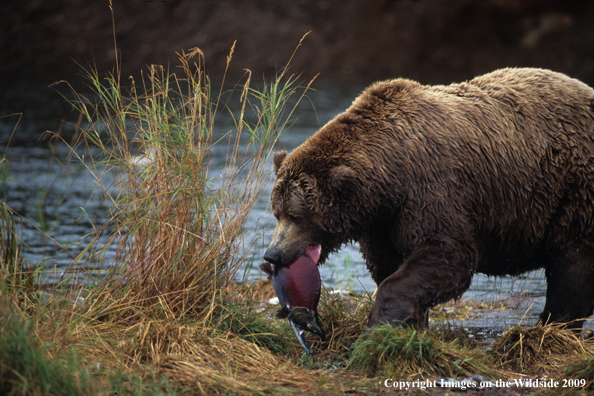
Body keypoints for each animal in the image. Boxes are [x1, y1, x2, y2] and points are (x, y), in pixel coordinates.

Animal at [264, 69, 592, 332]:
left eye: (297, 215)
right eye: (277, 213)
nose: (272, 255)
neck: (388, 179)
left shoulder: (431, 189)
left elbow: (447, 254)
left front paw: (380, 322)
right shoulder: (382, 222)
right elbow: (389, 264)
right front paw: (411, 323)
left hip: (572, 188)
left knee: (571, 260)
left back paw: (551, 326)